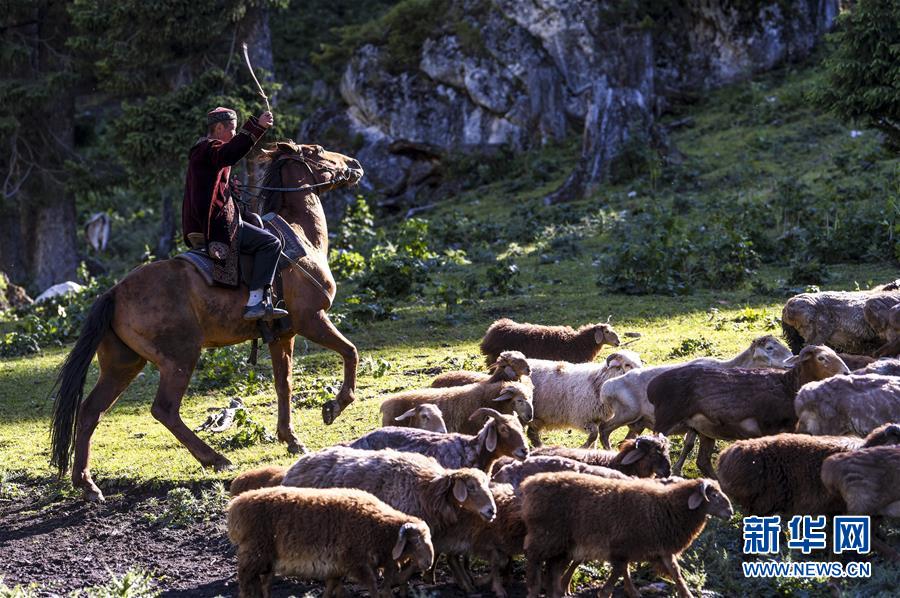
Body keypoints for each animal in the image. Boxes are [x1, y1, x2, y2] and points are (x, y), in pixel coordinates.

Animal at [50, 141, 363, 501]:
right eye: (318, 151)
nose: (354, 164)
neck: (301, 236)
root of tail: (114, 292)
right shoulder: (312, 320)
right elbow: (350, 352)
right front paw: (334, 406)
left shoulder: (283, 336)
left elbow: (283, 384)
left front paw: (291, 438)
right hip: (180, 358)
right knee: (164, 409)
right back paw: (215, 459)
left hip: (122, 366)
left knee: (91, 411)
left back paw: (86, 483)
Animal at [227, 486, 434, 598]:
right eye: (416, 541)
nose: (429, 562)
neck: (380, 529)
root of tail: (236, 505)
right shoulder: (356, 562)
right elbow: (373, 586)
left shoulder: (337, 567)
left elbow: (332, 588)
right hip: (255, 552)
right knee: (245, 581)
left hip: (267, 558)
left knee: (263, 583)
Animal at [521, 473, 733, 598]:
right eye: (713, 495)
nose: (730, 512)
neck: (666, 508)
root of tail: (529, 483)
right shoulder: (622, 548)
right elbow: (619, 574)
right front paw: (612, 592)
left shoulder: (659, 550)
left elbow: (677, 575)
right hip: (547, 535)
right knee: (533, 558)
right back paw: (534, 589)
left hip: (561, 542)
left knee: (553, 567)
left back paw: (556, 591)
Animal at [597, 335, 793, 449]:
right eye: (769, 348)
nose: (791, 361)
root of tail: (606, 387)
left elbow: (688, 445)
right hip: (626, 413)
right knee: (604, 430)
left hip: (637, 423)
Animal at [650, 345, 850, 478]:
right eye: (821, 358)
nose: (846, 373)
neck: (788, 386)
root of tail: (654, 386)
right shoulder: (771, 427)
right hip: (666, 420)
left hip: (704, 427)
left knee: (703, 461)